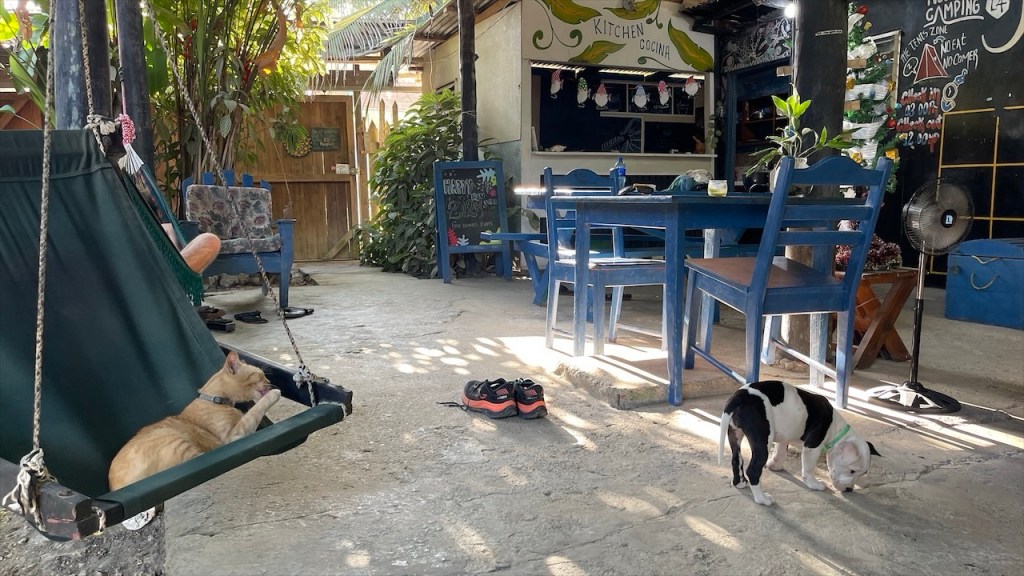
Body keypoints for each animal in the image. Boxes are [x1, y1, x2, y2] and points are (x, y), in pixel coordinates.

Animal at [107, 350, 281, 529]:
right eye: (259, 375)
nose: (270, 382)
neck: (215, 399)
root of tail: (115, 487)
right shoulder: (235, 434)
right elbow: (257, 408)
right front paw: (275, 393)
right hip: (175, 439)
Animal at [718, 380, 880, 506]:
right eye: (852, 471)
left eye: (862, 473)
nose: (849, 489)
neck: (835, 428)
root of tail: (740, 396)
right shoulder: (813, 446)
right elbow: (808, 467)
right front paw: (814, 483)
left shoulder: (785, 436)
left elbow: (781, 450)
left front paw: (775, 465)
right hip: (762, 440)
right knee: (753, 469)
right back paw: (762, 499)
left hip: (734, 433)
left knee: (736, 459)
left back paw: (739, 482)